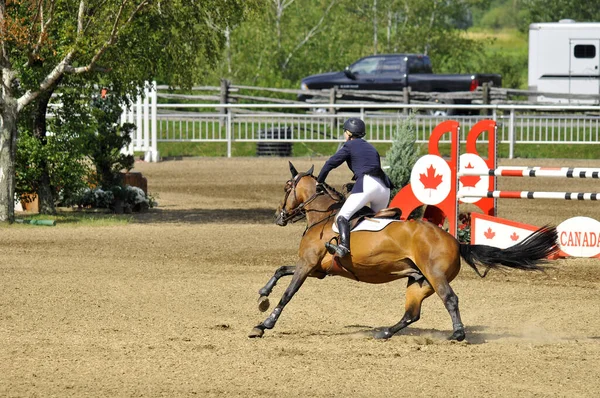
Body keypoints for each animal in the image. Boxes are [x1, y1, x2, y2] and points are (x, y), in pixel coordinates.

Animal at [247, 163, 556, 340]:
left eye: (287, 187)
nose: (278, 216)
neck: (324, 217)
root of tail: (457, 242)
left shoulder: (307, 264)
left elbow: (288, 293)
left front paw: (264, 323)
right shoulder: (317, 268)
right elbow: (280, 271)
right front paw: (262, 295)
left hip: (434, 276)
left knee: (450, 299)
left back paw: (457, 334)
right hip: (418, 280)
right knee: (412, 313)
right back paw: (384, 333)